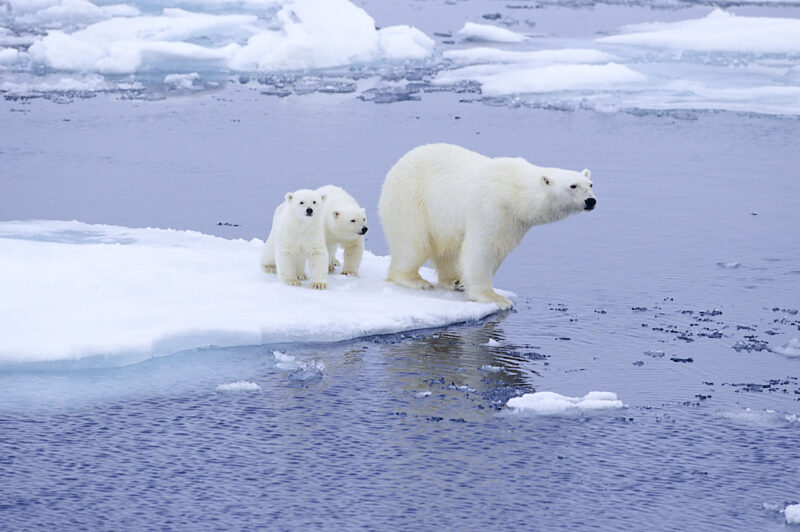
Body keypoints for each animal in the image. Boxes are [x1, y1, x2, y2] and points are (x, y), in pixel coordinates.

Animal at [378, 143, 596, 310]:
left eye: (590, 184)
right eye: (573, 186)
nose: (591, 201)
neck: (514, 191)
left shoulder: (514, 222)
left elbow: (498, 248)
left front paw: (465, 283)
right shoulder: (491, 208)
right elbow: (483, 249)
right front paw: (497, 299)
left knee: (448, 250)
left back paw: (453, 280)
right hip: (411, 200)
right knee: (413, 243)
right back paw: (415, 280)